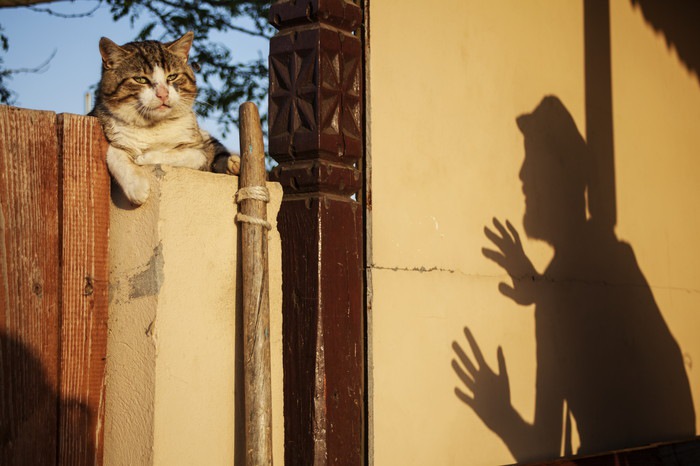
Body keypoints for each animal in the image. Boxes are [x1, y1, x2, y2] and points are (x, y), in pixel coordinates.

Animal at [91, 31, 239, 205]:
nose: (163, 93)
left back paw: (234, 164)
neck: (153, 127)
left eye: (172, 76)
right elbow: (114, 152)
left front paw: (144, 158)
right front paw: (137, 187)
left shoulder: (198, 151)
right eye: (140, 79)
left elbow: (180, 154)